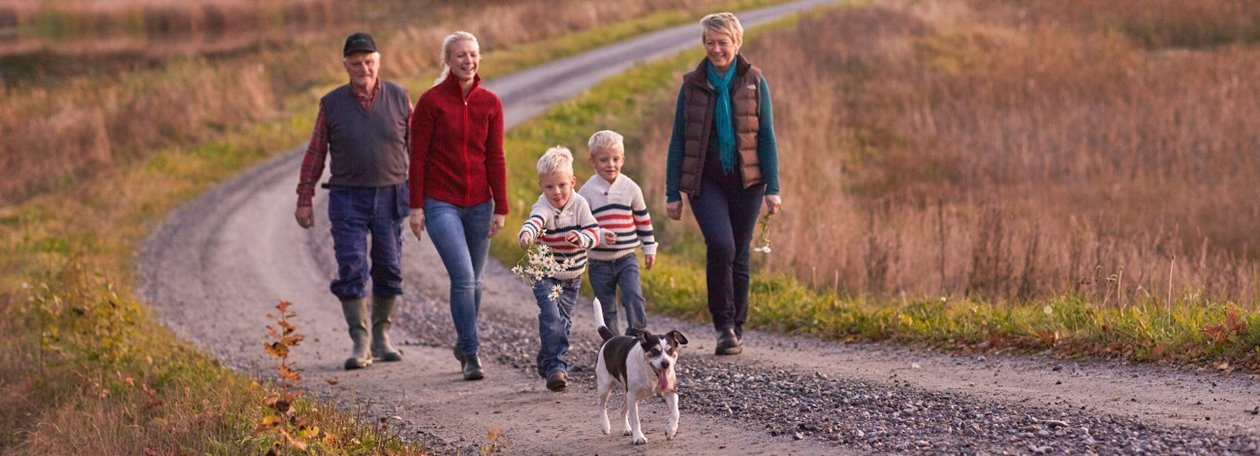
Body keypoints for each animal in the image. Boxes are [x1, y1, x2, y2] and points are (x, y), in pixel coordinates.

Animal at [592, 297, 690, 443]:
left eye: (671, 350)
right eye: (654, 351)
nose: (666, 363)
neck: (650, 374)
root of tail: (610, 338)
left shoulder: (670, 391)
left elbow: (676, 413)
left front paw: (670, 430)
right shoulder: (632, 395)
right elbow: (635, 419)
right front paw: (638, 437)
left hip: (627, 393)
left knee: (622, 410)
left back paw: (627, 429)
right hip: (606, 387)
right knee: (602, 406)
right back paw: (605, 426)